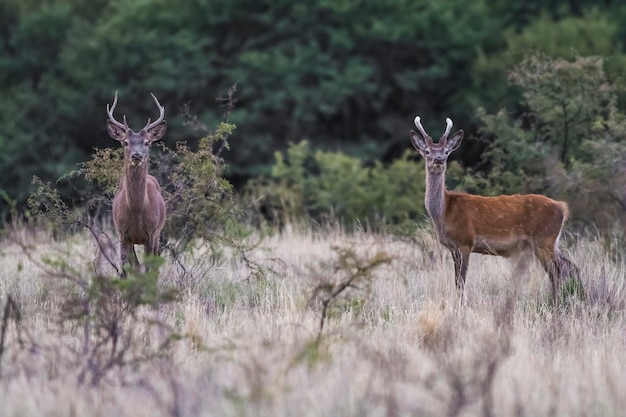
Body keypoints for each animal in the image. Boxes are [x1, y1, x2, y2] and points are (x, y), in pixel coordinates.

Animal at [106, 92, 167, 278]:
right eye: (125, 142)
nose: (137, 155)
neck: (137, 211)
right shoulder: (122, 234)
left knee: (153, 267)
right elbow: (125, 270)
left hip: (158, 234)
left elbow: (148, 270)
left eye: (147, 142)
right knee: (135, 266)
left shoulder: (151, 234)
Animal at [408, 117, 576, 300]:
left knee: (557, 271)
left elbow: (460, 282)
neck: (444, 212)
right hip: (551, 242)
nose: (438, 159)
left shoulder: (465, 241)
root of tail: (563, 207)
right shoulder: (453, 247)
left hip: (544, 239)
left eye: (446, 152)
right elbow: (457, 282)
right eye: (426, 151)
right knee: (569, 266)